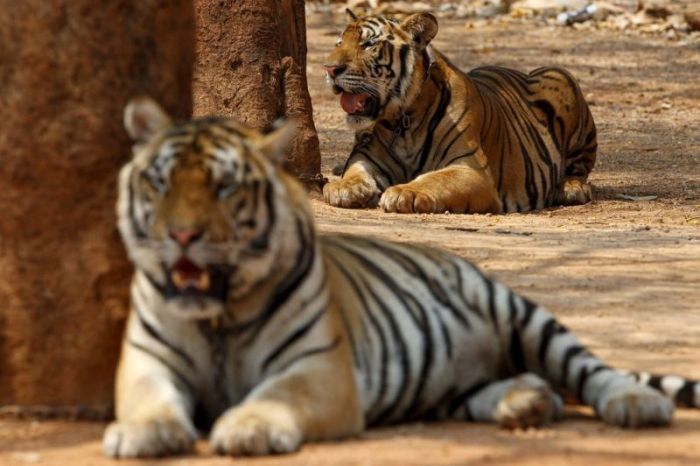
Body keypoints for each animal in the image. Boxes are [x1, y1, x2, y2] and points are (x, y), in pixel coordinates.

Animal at [106, 96, 696, 456]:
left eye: (225, 187)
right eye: (159, 183)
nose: (182, 235)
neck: (218, 317)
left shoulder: (322, 370)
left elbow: (278, 395)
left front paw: (249, 426)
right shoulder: (146, 360)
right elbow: (147, 400)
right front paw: (140, 432)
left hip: (523, 317)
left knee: (592, 370)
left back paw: (635, 404)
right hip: (449, 380)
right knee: (505, 386)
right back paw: (525, 400)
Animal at [322, 10, 596, 214]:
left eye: (368, 44)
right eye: (339, 42)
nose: (330, 69)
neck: (402, 121)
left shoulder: (471, 170)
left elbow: (436, 179)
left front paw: (404, 192)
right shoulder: (368, 156)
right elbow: (354, 171)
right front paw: (342, 187)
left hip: (560, 75)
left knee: (581, 167)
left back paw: (571, 188)